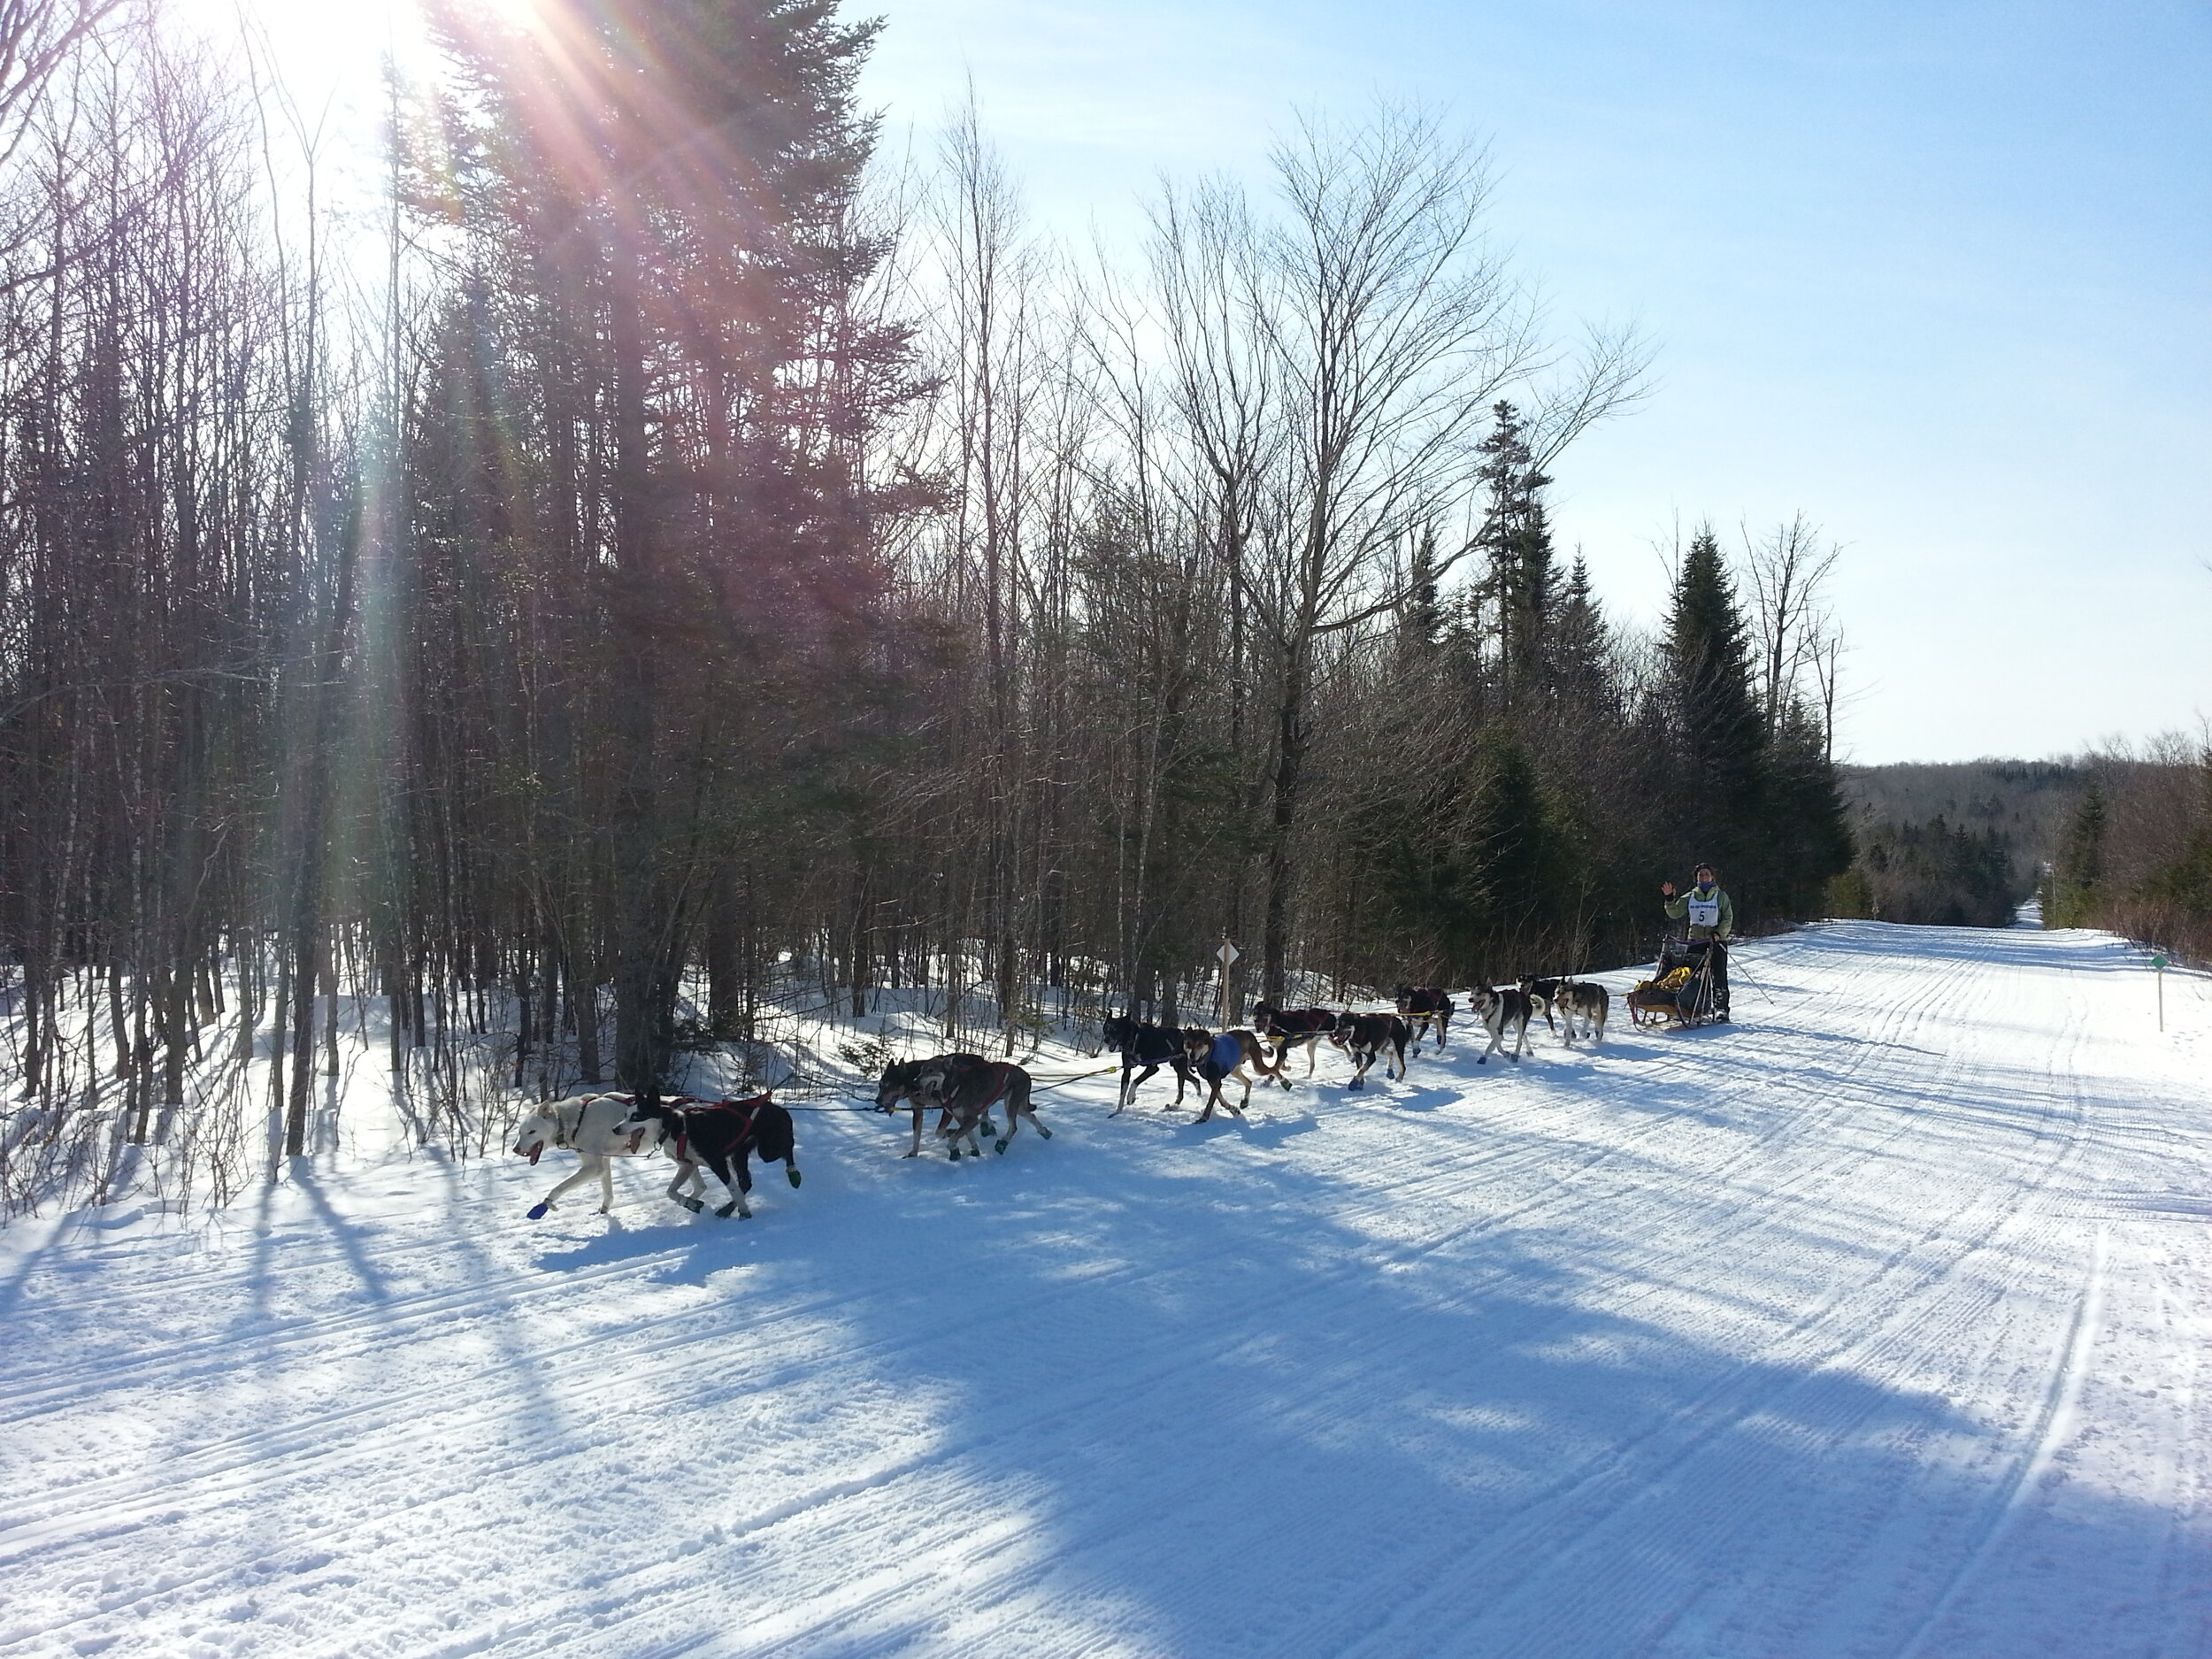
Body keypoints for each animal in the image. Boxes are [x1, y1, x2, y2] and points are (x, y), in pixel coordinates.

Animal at [509, 1093, 699, 1221]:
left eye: (532, 1132)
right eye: (520, 1132)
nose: (515, 1149)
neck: (577, 1120)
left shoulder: (593, 1167)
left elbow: (560, 1187)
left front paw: (547, 1203)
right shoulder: (604, 1162)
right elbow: (608, 1193)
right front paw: (603, 1212)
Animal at [619, 1106, 801, 1221]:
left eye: (635, 1116)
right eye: (625, 1114)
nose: (616, 1129)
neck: (675, 1128)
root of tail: (783, 1110)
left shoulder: (717, 1162)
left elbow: (731, 1188)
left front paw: (745, 1211)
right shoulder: (689, 1165)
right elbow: (677, 1191)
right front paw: (690, 1203)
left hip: (767, 1150)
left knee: (789, 1145)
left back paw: (793, 1173)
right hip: (739, 1155)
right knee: (746, 1182)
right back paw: (726, 1210)